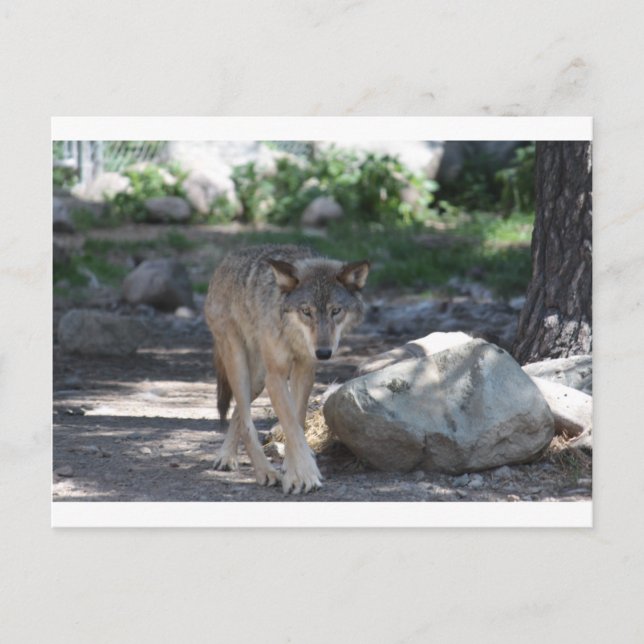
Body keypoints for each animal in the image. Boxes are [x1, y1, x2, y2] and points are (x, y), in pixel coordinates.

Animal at [204, 244, 369, 494]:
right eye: (306, 311)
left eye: (336, 310)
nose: (323, 353)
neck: (294, 336)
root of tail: (226, 260)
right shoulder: (277, 376)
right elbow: (291, 426)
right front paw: (306, 476)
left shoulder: (304, 371)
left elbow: (297, 421)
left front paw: (293, 472)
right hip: (240, 364)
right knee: (246, 421)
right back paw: (260, 470)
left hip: (258, 380)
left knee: (238, 414)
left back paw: (229, 456)